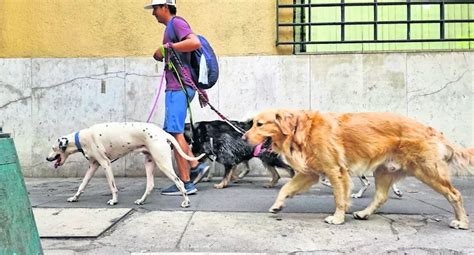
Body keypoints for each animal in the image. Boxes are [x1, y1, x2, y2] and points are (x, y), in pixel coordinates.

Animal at [244, 109, 474, 229]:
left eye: (259, 124)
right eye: (252, 123)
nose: (242, 137)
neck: (301, 130)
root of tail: (432, 130)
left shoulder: (335, 171)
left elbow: (339, 197)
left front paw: (337, 218)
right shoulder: (310, 173)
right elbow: (286, 188)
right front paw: (277, 205)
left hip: (427, 171)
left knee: (455, 194)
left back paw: (462, 221)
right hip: (383, 171)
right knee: (381, 196)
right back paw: (364, 213)